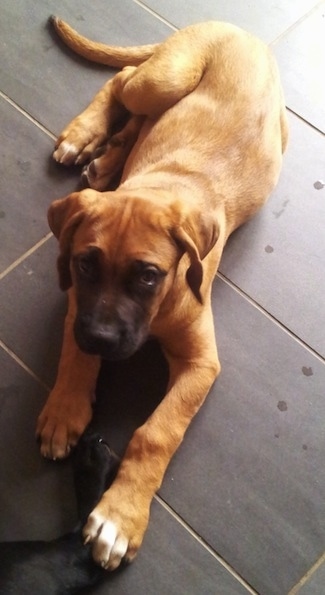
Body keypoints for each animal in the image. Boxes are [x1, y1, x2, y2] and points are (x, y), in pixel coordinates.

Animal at [36, 16, 288, 572]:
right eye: (84, 264)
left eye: (149, 276)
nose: (103, 339)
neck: (159, 188)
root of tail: (236, 28)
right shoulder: (78, 306)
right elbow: (73, 355)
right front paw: (65, 409)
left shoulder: (201, 363)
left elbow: (157, 433)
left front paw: (119, 517)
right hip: (164, 80)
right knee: (124, 80)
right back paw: (88, 141)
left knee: (136, 109)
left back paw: (105, 157)